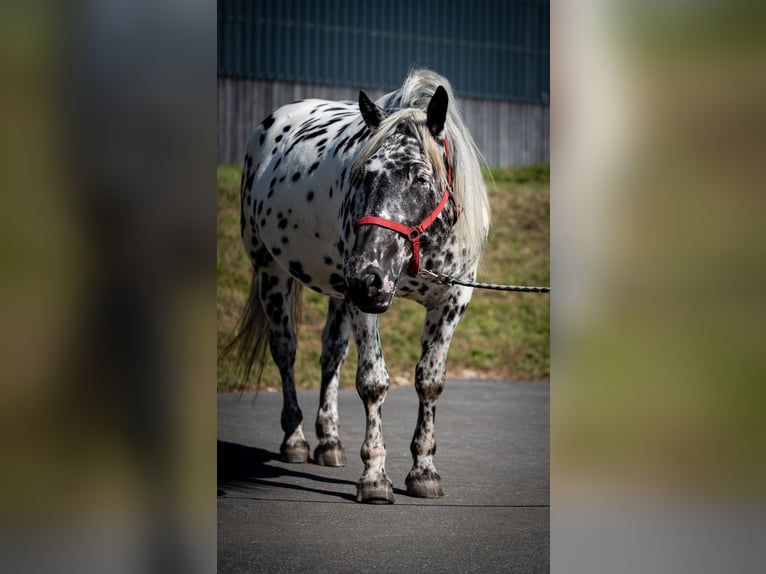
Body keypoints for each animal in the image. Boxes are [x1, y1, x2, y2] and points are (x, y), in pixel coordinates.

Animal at [231, 70, 492, 506]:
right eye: (363, 174)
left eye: (422, 176)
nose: (365, 275)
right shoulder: (364, 303)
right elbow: (373, 382)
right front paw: (374, 476)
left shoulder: (452, 300)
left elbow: (429, 381)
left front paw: (424, 471)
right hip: (273, 270)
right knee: (285, 350)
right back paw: (296, 439)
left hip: (340, 291)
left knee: (331, 353)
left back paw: (329, 442)